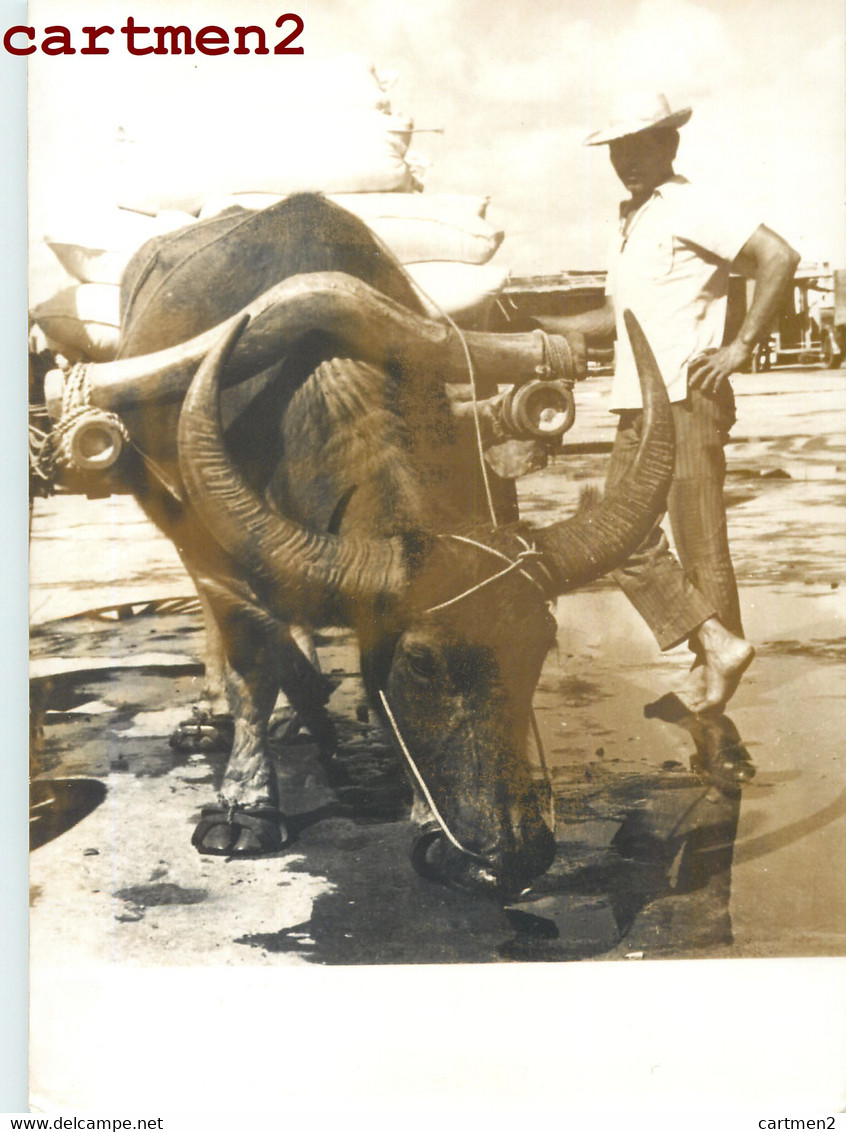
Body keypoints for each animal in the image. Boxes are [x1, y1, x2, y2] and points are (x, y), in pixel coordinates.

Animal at [41, 196, 674, 901]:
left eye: (539, 644)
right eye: (422, 664)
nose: (514, 855)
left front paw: (416, 803)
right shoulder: (207, 547)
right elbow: (252, 664)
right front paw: (244, 806)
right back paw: (217, 714)